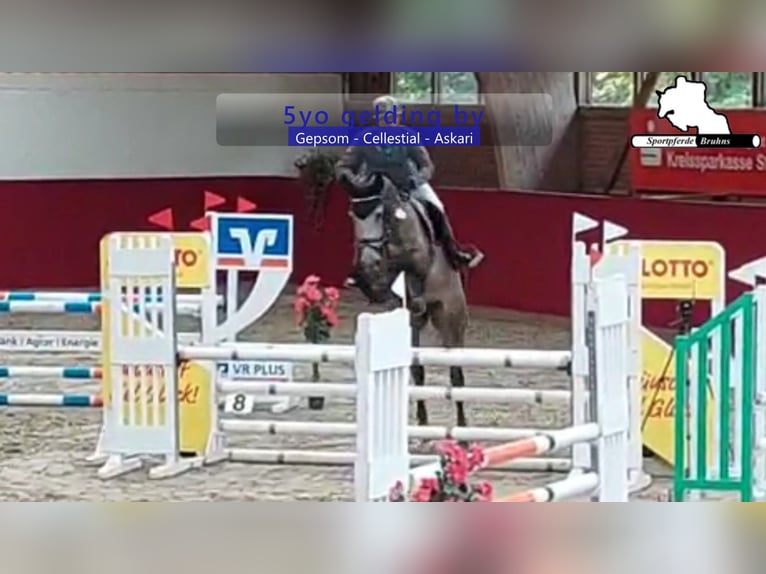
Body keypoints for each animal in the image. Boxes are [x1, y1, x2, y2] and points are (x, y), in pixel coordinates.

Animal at [339, 172, 469, 428]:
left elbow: (408, 262)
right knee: (417, 370)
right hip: (412, 325)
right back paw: (423, 421)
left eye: (379, 214)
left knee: (456, 371)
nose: (368, 260)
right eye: (352, 216)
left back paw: (462, 426)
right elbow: (380, 279)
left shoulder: (419, 255)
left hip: (450, 317)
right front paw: (369, 279)